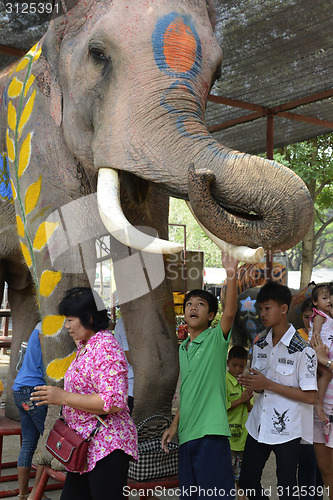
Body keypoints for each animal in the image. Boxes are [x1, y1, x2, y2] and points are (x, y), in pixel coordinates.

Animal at [0, 0, 312, 458]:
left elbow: (143, 252)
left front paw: (147, 433)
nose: (202, 174)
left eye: (219, 72)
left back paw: (13, 412)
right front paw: (53, 456)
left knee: (22, 290)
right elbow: (58, 254)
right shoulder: (30, 141)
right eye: (98, 54)